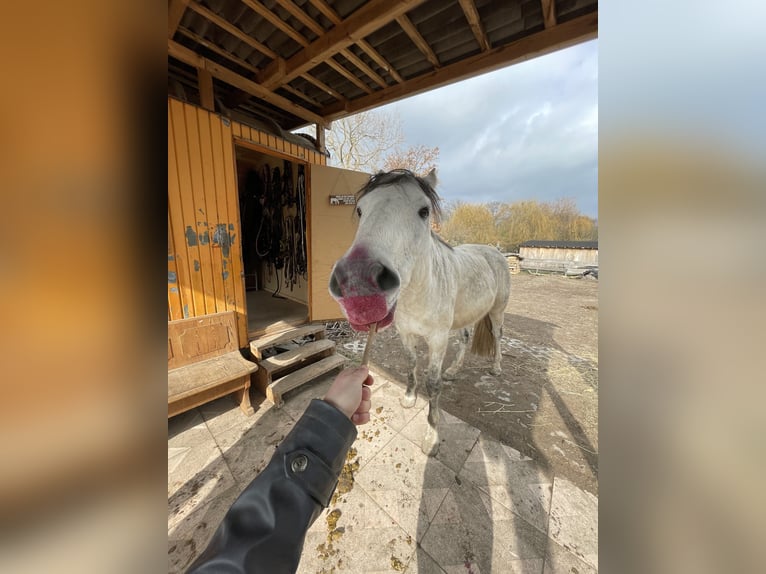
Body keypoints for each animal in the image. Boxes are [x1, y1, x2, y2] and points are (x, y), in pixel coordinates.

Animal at [329, 169, 511, 456]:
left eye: (424, 211)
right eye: (360, 210)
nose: (358, 281)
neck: (419, 292)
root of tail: (494, 251)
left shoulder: (437, 339)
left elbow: (433, 384)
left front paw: (432, 438)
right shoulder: (406, 333)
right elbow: (411, 363)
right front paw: (409, 398)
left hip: (496, 312)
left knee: (497, 336)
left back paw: (496, 368)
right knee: (465, 339)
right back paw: (454, 371)